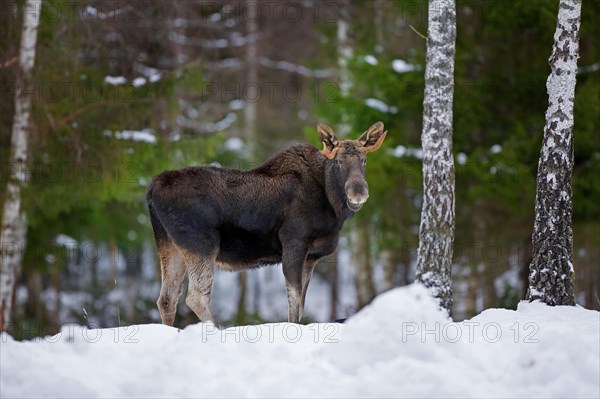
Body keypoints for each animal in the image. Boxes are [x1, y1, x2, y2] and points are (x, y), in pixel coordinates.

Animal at [147, 122, 386, 328]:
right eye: (338, 161)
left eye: (364, 160)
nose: (358, 192)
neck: (331, 204)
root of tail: (153, 188)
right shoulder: (294, 242)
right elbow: (294, 304)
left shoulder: (310, 258)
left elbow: (300, 304)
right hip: (203, 243)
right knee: (196, 297)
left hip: (170, 244)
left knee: (167, 298)